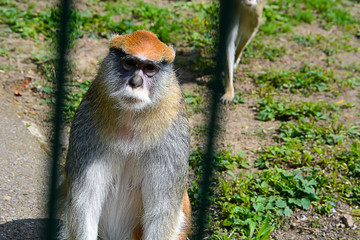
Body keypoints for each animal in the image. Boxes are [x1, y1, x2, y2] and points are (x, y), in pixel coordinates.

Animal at [59, 30, 191, 240]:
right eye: (129, 63)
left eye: (149, 68)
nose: (135, 83)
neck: (131, 119)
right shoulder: (86, 127)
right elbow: (84, 203)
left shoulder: (173, 139)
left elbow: (162, 213)